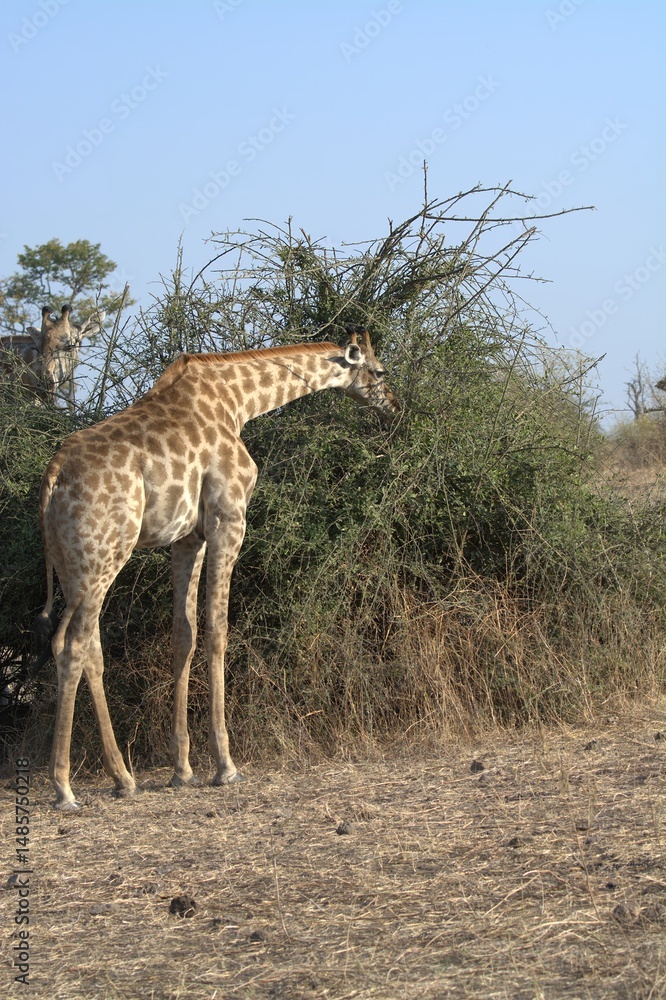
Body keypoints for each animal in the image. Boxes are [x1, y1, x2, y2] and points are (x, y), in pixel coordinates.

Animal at [37, 329, 399, 809]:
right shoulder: (229, 516)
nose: (394, 406)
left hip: (72, 565)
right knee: (73, 644)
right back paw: (63, 787)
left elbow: (184, 633)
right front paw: (224, 765)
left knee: (83, 646)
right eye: (379, 371)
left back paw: (123, 778)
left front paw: (182, 769)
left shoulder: (187, 536)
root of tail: (53, 477)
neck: (237, 401)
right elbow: (218, 629)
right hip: (105, 552)